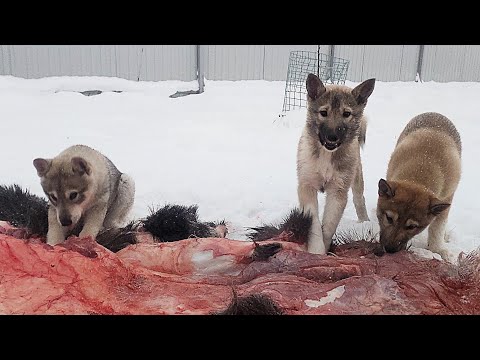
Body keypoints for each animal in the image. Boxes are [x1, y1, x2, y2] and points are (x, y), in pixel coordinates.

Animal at [296, 72, 376, 253]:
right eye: (323, 112)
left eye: (346, 114)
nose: (332, 137)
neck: (327, 155)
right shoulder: (307, 186)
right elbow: (314, 223)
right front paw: (316, 251)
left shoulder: (338, 191)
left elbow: (329, 226)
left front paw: (324, 249)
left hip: (356, 176)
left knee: (359, 199)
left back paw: (365, 222)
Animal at [378, 111, 462, 260]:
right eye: (389, 218)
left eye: (412, 227)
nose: (390, 249)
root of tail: (435, 113)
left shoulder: (446, 199)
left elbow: (437, 227)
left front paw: (438, 250)